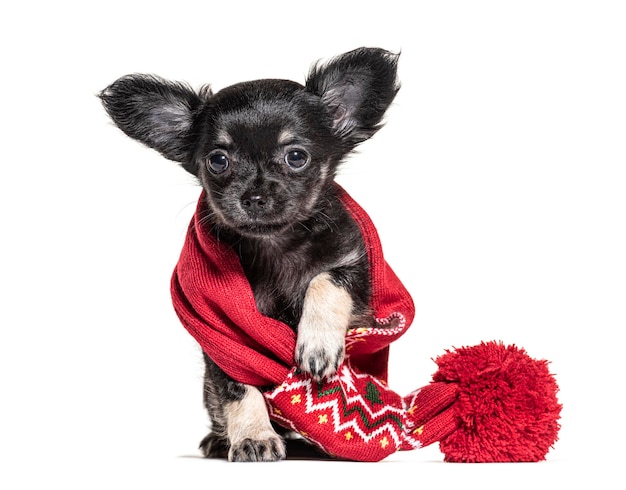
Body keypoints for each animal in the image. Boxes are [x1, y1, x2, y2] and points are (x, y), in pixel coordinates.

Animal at [100, 47, 398, 462]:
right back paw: (220, 440)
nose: (253, 197)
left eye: (296, 157)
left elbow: (324, 281)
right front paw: (253, 437)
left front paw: (317, 344)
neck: (277, 246)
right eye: (218, 161)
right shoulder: (225, 339)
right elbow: (238, 390)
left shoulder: (355, 270)